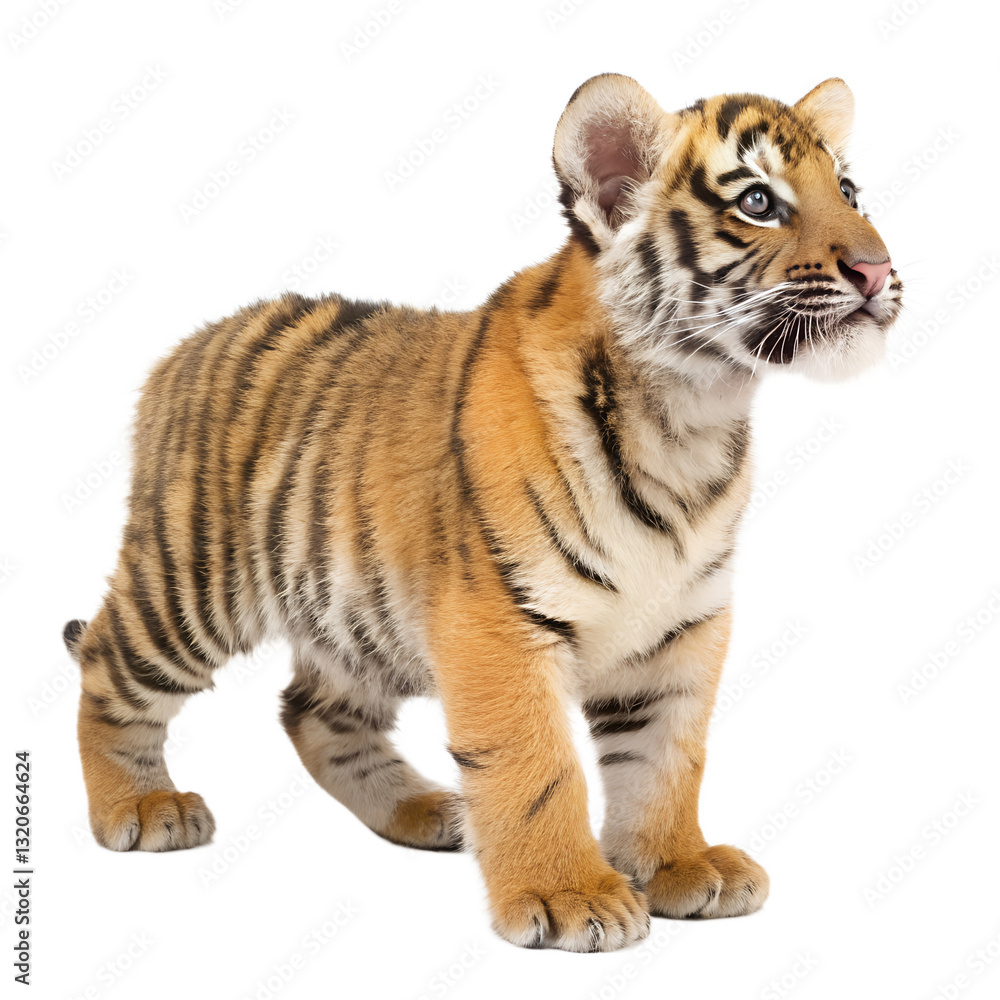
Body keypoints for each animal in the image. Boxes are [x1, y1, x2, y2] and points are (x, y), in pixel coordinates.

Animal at [63, 73, 901, 953]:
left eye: (848, 191)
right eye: (758, 202)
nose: (878, 270)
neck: (689, 417)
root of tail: (180, 351)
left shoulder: (683, 626)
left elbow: (668, 756)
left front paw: (680, 864)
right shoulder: (496, 618)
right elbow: (536, 765)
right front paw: (572, 895)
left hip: (355, 617)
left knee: (313, 712)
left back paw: (424, 808)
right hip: (191, 585)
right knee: (108, 665)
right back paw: (141, 806)